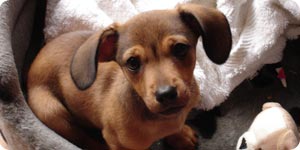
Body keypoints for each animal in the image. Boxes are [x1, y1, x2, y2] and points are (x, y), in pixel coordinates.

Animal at [27, 3, 232, 150]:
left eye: (180, 48)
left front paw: (179, 135)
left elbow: (174, 128)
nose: (166, 94)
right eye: (132, 62)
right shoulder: (115, 141)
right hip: (53, 112)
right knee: (84, 139)